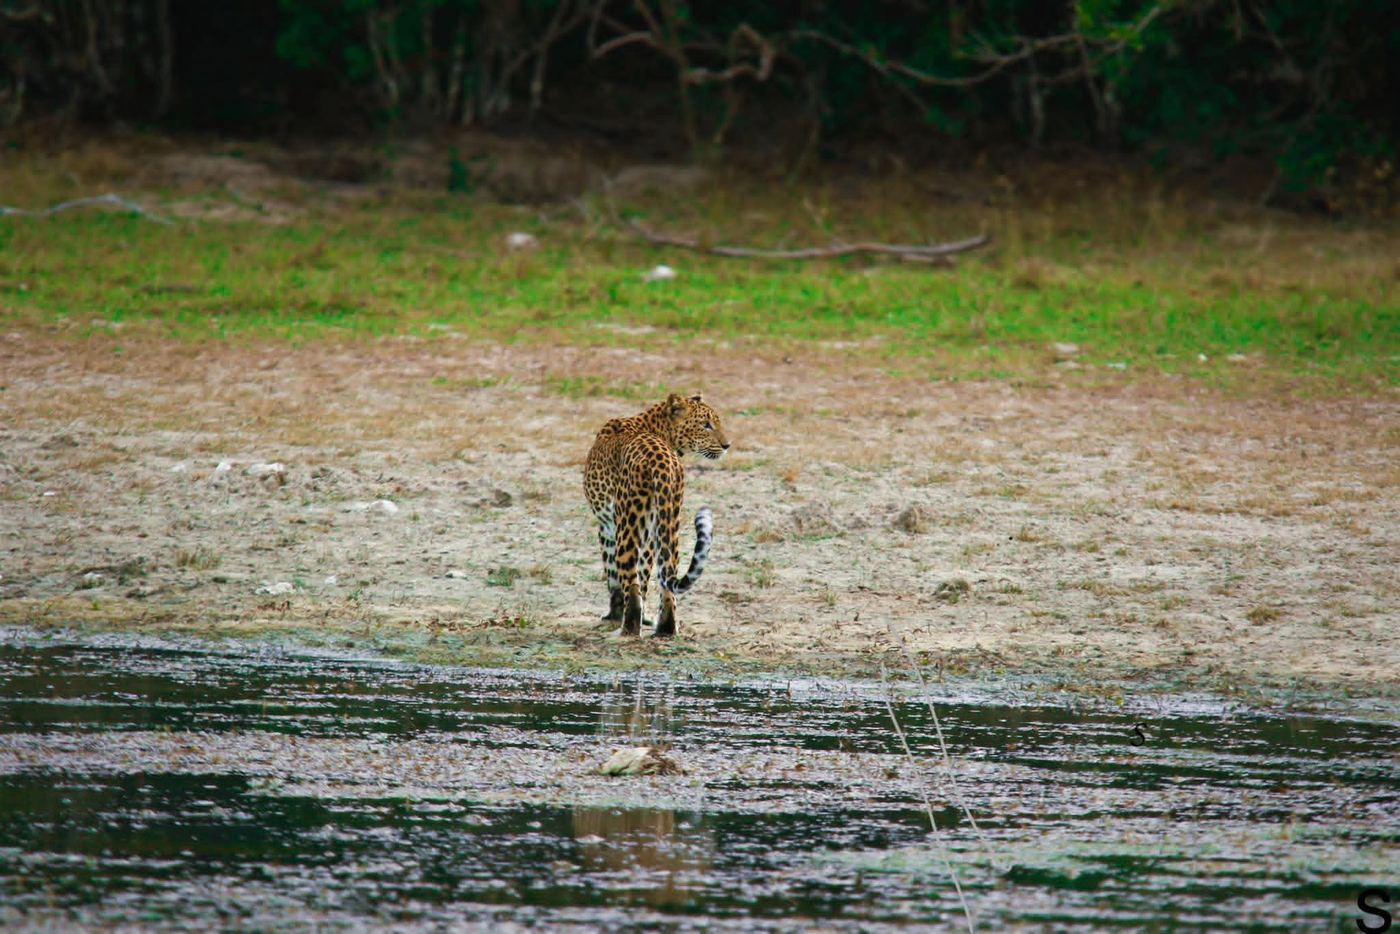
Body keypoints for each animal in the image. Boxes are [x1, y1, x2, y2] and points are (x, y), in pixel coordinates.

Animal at [583, 392, 729, 637]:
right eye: (706, 425)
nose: (727, 445)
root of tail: (661, 461)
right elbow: (645, 576)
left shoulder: (606, 527)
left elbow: (613, 576)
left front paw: (613, 615)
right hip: (669, 522)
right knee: (667, 580)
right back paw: (665, 629)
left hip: (627, 525)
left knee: (631, 584)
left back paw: (625, 631)